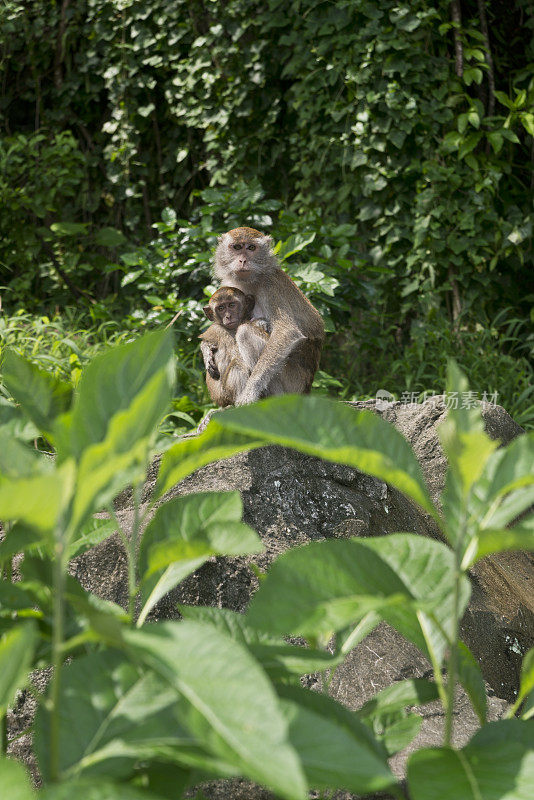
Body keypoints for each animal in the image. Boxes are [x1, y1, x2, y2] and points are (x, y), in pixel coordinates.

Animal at [215, 225, 324, 404]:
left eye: (251, 248)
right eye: (237, 247)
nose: (243, 260)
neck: (253, 280)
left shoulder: (270, 285)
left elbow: (287, 332)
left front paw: (249, 392)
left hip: (292, 383)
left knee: (245, 332)